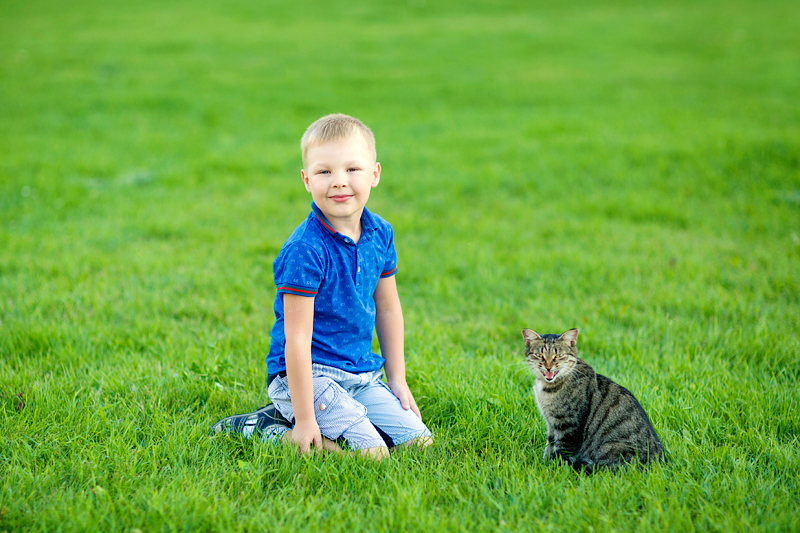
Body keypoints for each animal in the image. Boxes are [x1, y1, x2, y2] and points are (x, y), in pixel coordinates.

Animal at [522, 328, 663, 473]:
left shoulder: (569, 427)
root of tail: (657, 463)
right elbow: (549, 446)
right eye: (540, 355)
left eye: (559, 356)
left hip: (609, 448)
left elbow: (560, 452)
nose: (548, 367)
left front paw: (552, 468)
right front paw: (544, 464)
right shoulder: (551, 424)